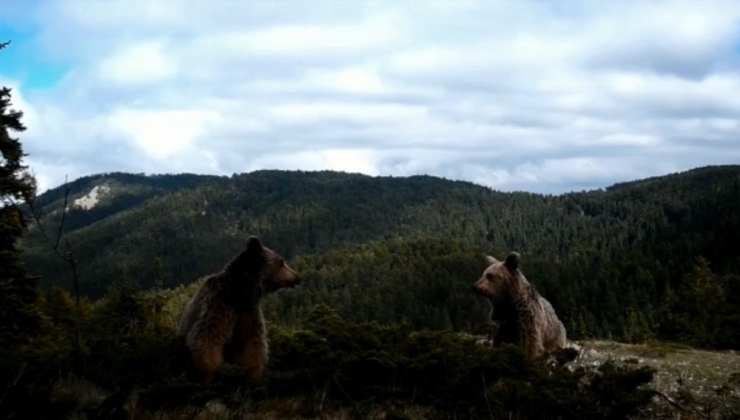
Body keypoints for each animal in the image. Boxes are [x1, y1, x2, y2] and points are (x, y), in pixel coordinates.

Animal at [176, 236, 300, 384]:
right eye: (281, 262)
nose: (297, 277)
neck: (237, 294)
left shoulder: (248, 313)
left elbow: (252, 345)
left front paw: (252, 376)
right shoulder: (218, 308)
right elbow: (206, 340)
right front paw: (211, 376)